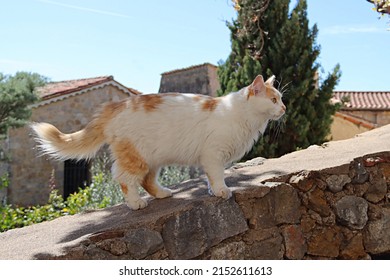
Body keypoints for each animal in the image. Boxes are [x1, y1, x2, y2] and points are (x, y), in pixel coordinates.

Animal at [31, 74, 286, 210]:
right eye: (273, 100)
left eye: (281, 99)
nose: (284, 108)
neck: (243, 117)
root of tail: (115, 105)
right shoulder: (213, 155)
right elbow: (217, 176)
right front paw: (222, 191)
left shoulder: (211, 158)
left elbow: (210, 179)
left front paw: (213, 192)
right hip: (136, 158)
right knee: (125, 180)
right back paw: (135, 203)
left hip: (153, 160)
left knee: (147, 181)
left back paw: (162, 193)